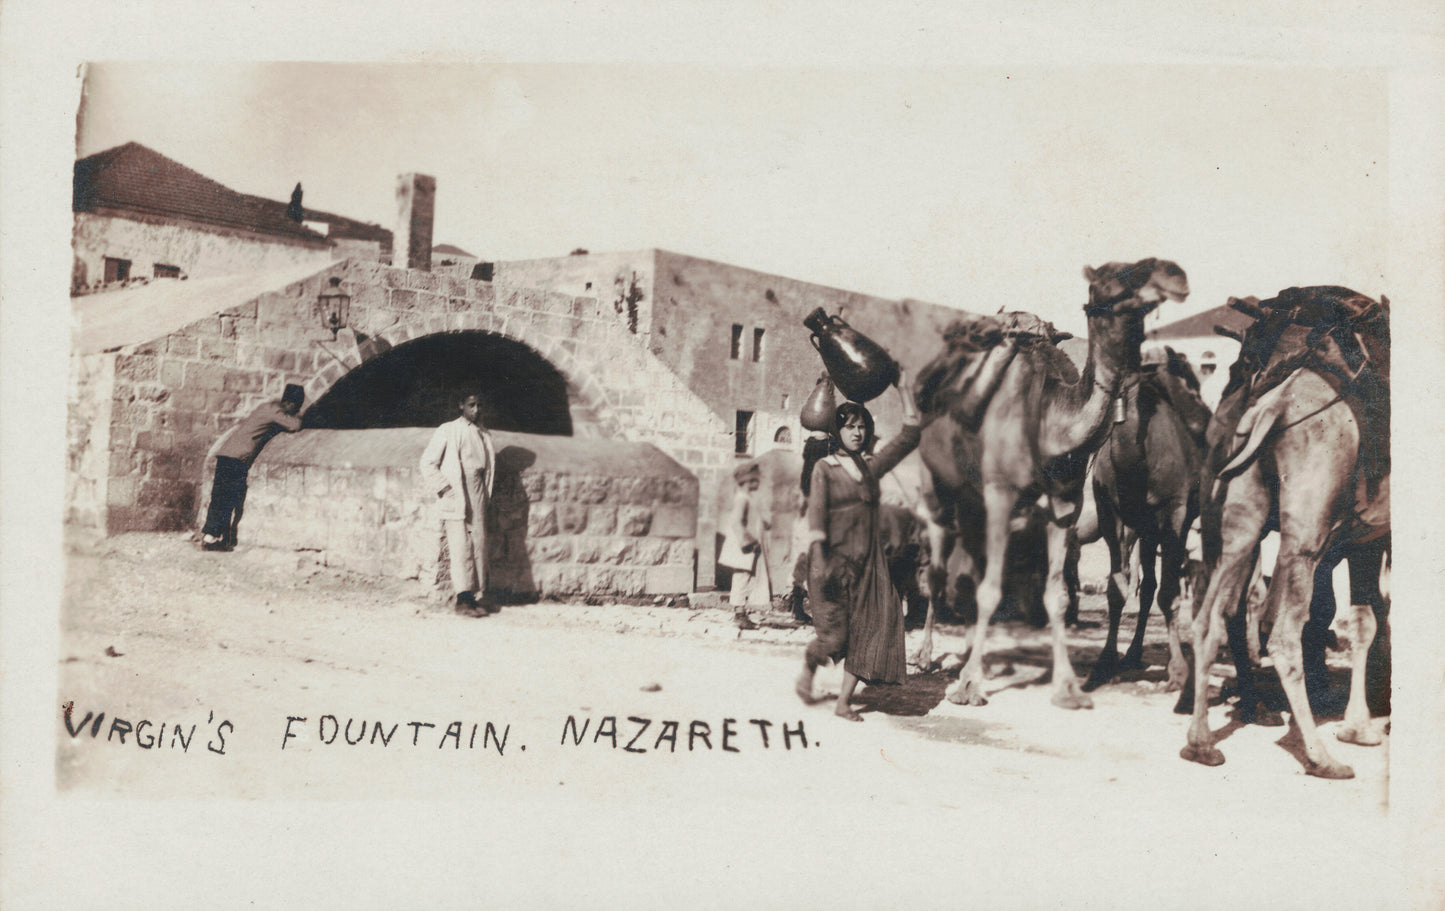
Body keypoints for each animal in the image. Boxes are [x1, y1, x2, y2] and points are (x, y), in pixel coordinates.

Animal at [907, 258, 1190, 714]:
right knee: (936, 572)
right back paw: (926, 655)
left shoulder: (1066, 505)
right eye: (1111, 276)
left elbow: (1055, 593)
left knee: (968, 573)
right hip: (936, 487)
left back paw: (969, 652)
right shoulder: (1001, 494)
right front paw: (968, 687)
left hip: (974, 501)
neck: (1048, 423)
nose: (1174, 274)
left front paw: (1068, 689)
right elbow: (992, 590)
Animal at [1086, 349, 1208, 691]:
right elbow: (1117, 590)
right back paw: (1132, 653)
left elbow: (1169, 593)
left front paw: (1177, 672)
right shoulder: (1111, 516)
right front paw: (1105, 662)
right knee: (1147, 585)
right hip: (1144, 529)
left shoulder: (1174, 512)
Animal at [1184, 289, 1387, 780]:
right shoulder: (1376, 536)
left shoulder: (1364, 538)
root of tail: (1273, 405)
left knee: (1211, 617)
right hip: (1305, 530)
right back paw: (1320, 756)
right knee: (1280, 632)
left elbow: (1364, 620)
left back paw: (1202, 742)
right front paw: (1358, 727)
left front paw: (1358, 726)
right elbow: (1368, 620)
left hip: (1242, 516)